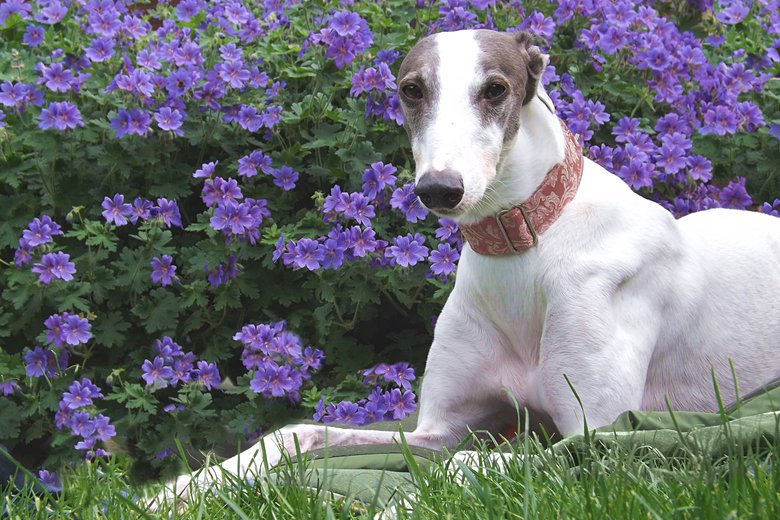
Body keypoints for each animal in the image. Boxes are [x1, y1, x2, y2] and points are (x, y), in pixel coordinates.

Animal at [152, 29, 780, 508]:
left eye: (496, 88)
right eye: (410, 90)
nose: (439, 189)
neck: (522, 251)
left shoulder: (599, 433)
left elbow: (465, 467)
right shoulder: (434, 430)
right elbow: (295, 433)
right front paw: (181, 487)